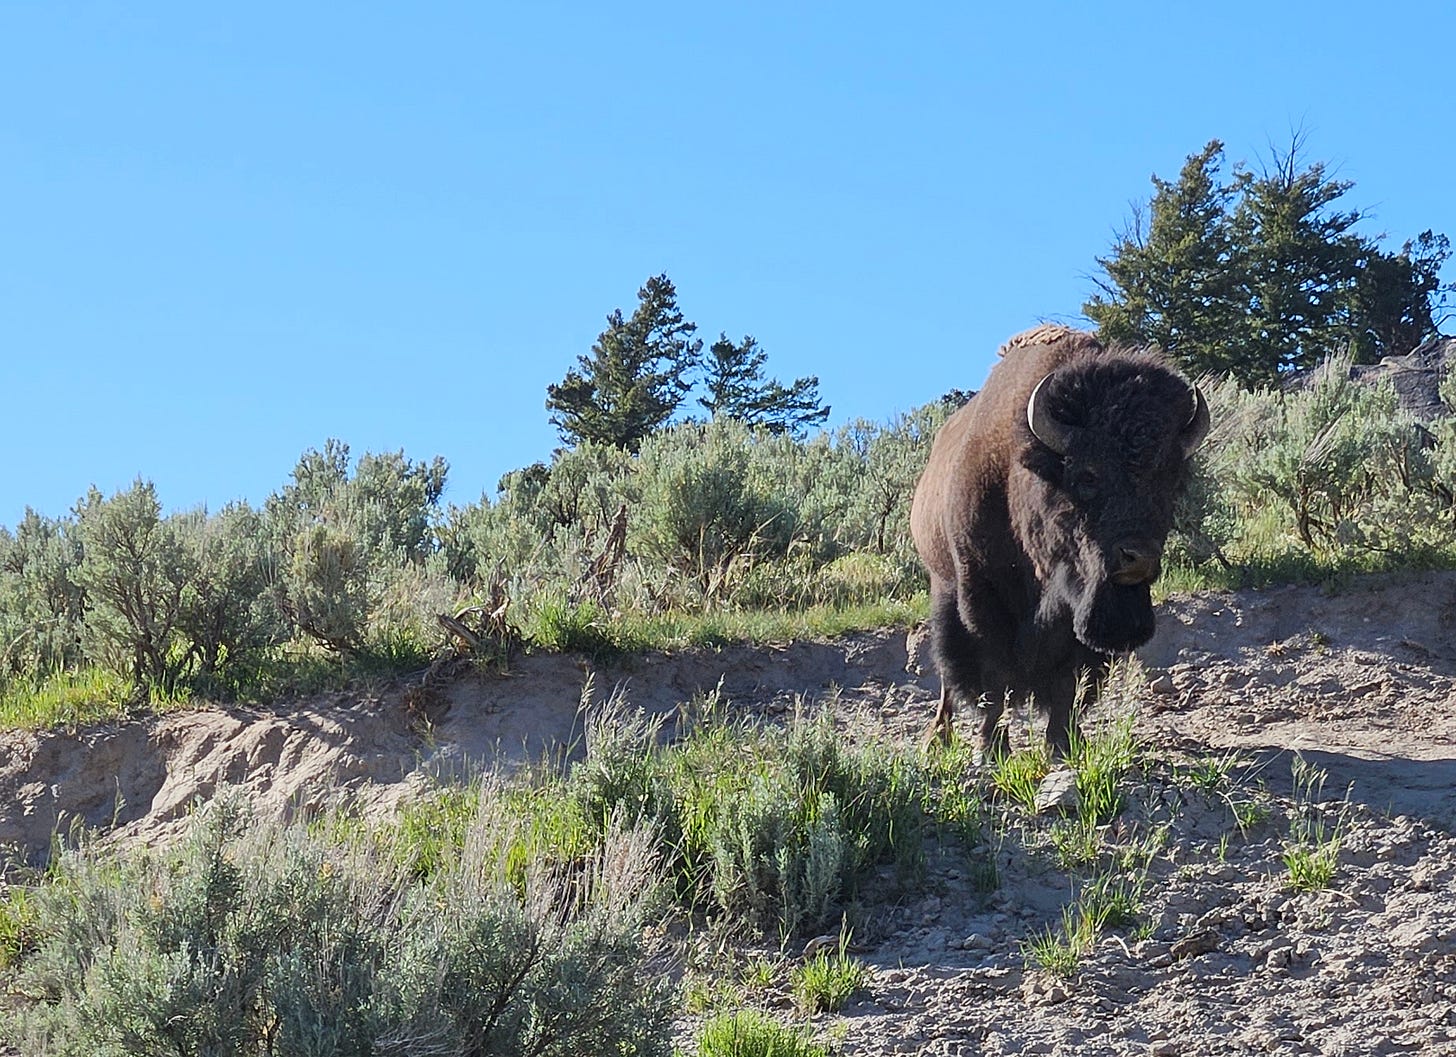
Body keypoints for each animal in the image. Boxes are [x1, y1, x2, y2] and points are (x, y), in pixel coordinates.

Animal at [910, 324, 1209, 759]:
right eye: (1087, 474)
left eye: (1171, 482)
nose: (1138, 557)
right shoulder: (980, 596)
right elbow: (993, 677)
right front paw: (992, 747)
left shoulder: (1078, 613)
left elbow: (1068, 678)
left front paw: (1064, 743)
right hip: (943, 586)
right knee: (950, 675)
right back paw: (938, 736)